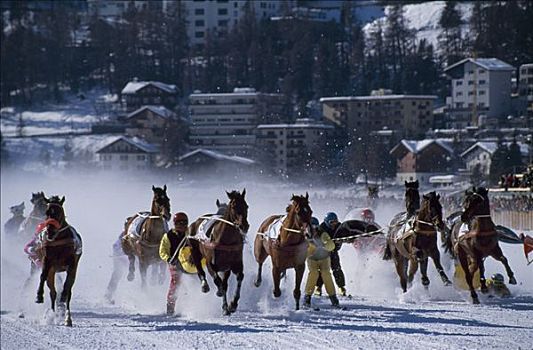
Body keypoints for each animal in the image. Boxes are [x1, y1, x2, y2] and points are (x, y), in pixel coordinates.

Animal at [34, 196, 81, 326]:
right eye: (46, 212)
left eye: (59, 212)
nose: (50, 232)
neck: (59, 239)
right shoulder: (47, 260)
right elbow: (43, 275)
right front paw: (39, 296)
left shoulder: (72, 262)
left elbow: (67, 284)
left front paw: (63, 296)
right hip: (53, 271)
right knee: (53, 292)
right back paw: (52, 314)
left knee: (69, 290)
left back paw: (67, 317)